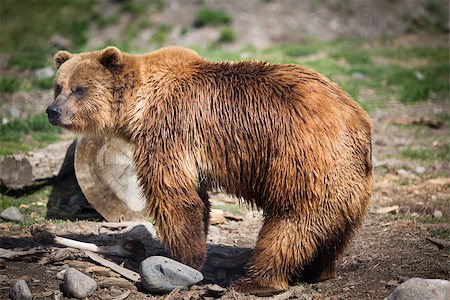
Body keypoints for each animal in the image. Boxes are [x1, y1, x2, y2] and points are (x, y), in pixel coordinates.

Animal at [47, 46, 374, 296]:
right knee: (334, 230)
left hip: (300, 160)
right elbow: (197, 198)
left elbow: (175, 197)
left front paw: (182, 260)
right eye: (58, 87)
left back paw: (256, 281)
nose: (52, 111)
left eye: (79, 89)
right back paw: (319, 271)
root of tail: (357, 120)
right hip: (351, 183)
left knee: (290, 222)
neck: (139, 106)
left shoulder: (169, 129)